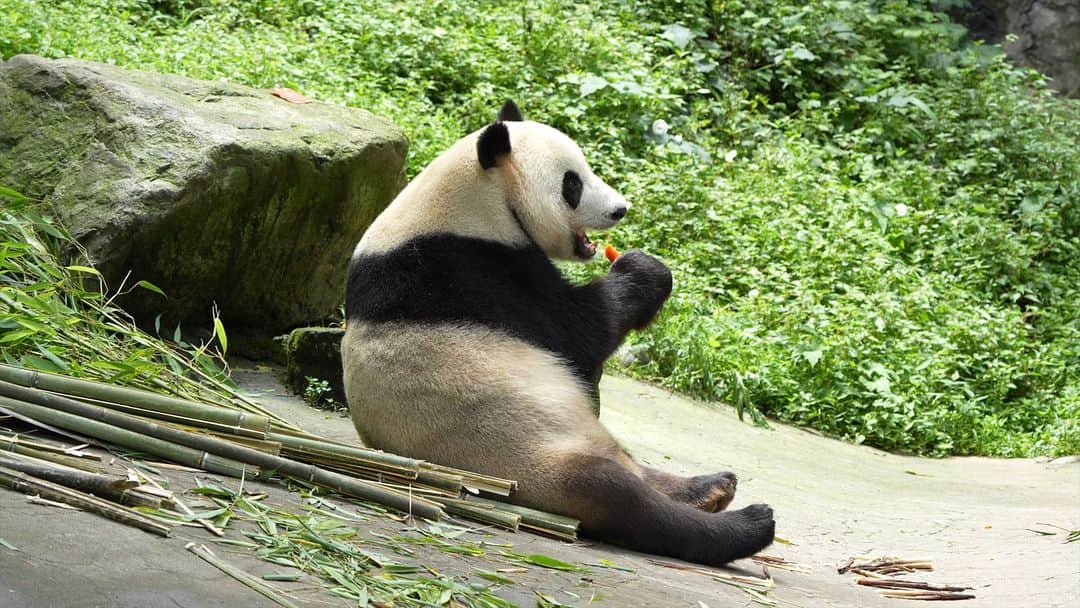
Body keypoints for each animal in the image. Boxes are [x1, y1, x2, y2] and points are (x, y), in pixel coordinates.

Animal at [342, 101, 774, 565]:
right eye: (573, 183)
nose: (620, 209)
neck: (478, 198)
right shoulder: (475, 271)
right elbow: (581, 332)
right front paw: (646, 269)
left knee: (634, 468)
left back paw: (710, 487)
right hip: (520, 459)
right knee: (619, 494)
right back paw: (746, 524)